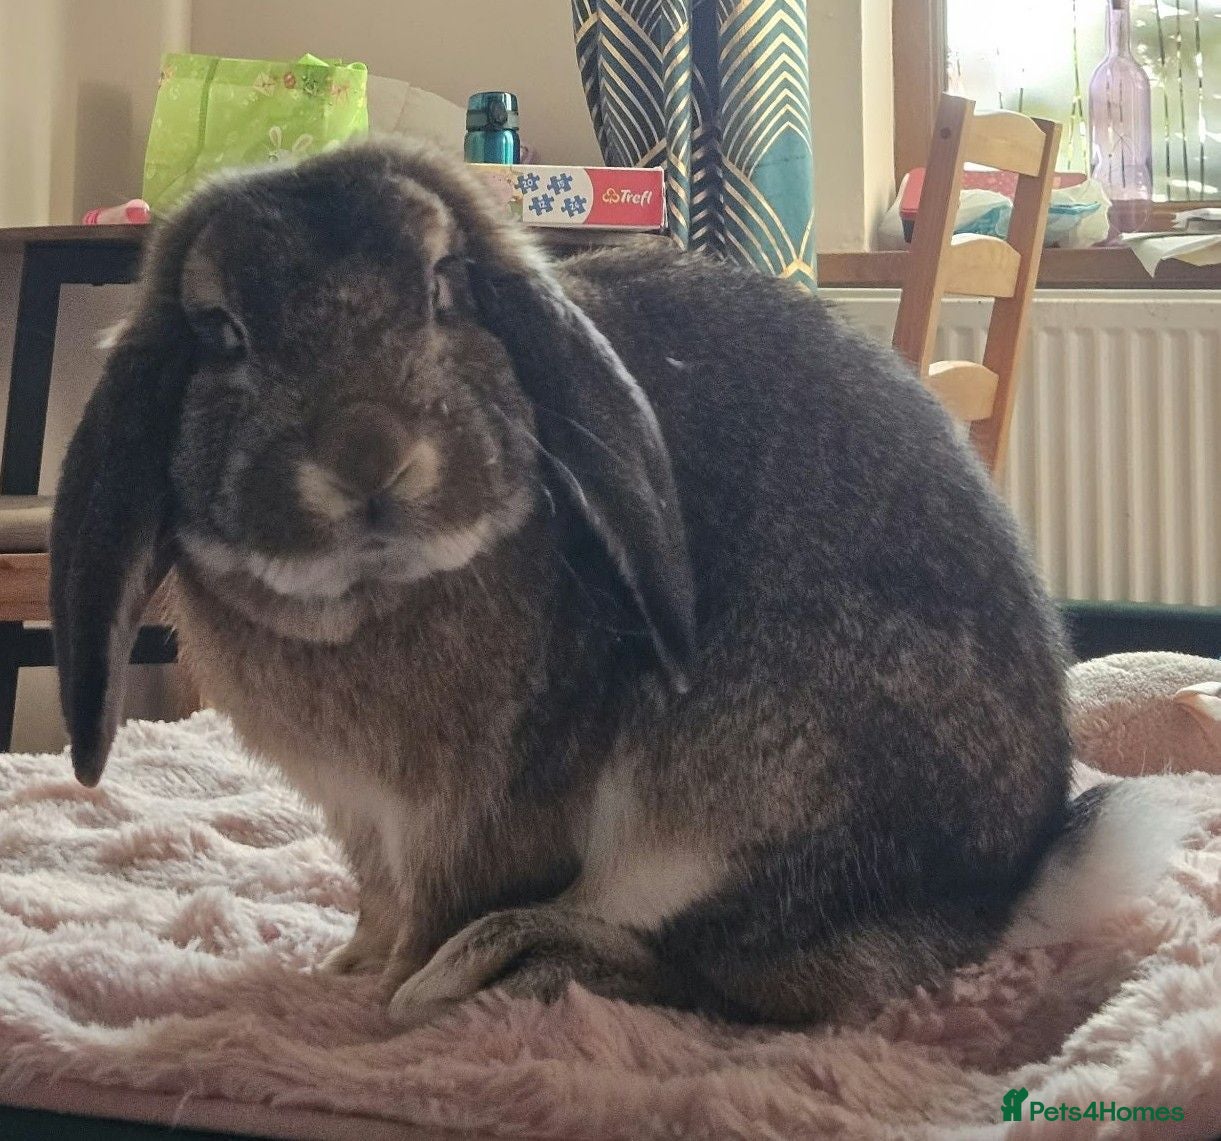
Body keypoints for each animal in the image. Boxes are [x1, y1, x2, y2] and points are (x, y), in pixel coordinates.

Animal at [53, 137, 1104, 1028]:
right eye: (220, 332)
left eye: (444, 288)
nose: (368, 456)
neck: (369, 595)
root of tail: (994, 895)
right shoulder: (365, 821)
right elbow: (379, 901)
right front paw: (347, 968)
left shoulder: (477, 818)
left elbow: (441, 905)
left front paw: (382, 998)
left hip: (716, 802)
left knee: (717, 981)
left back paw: (497, 971)